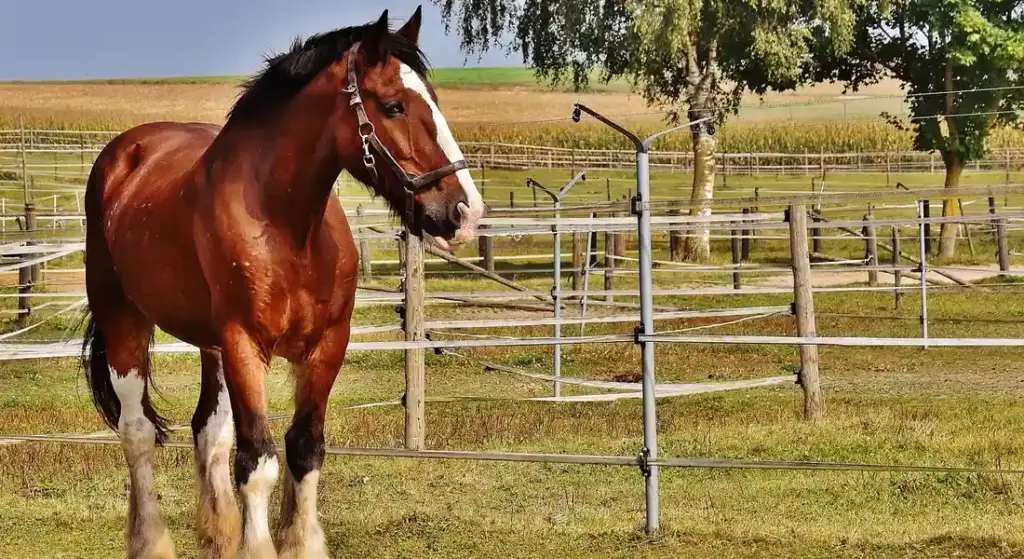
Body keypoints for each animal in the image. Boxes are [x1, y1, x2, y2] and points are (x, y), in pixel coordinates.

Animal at [80, 7, 483, 558]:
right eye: (394, 106)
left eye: (435, 101)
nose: (464, 213)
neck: (288, 228)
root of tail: (124, 153)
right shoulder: (244, 346)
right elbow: (258, 462)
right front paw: (259, 545)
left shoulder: (326, 345)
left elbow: (304, 449)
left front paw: (297, 542)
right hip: (125, 321)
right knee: (137, 432)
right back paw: (152, 541)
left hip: (209, 346)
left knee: (209, 430)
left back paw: (219, 533)